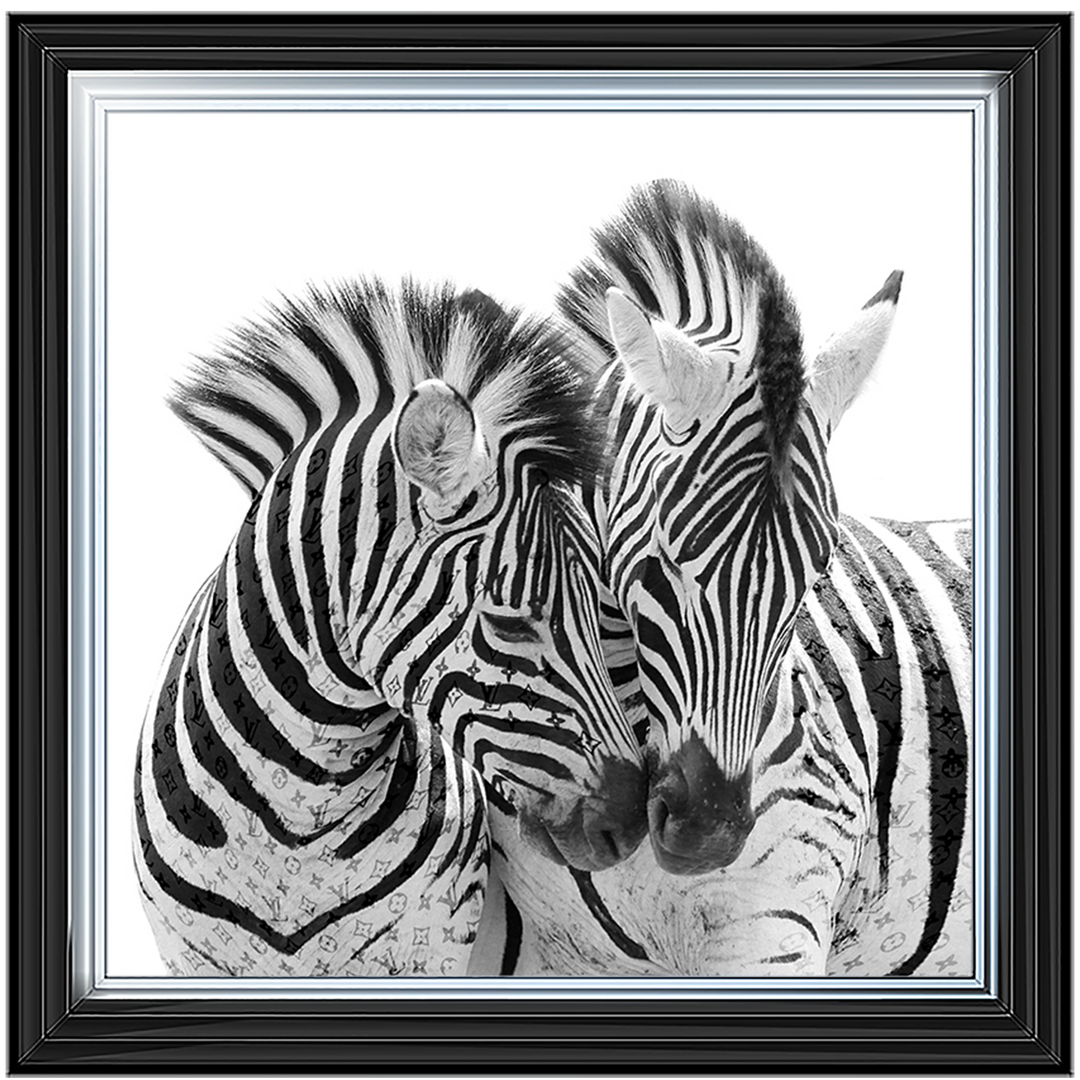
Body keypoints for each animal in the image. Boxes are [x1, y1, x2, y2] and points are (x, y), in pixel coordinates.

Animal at [133, 277, 648, 977]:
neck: (294, 818)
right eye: (509, 624)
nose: (632, 819)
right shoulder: (192, 959)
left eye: (601, 608)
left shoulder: (429, 945)